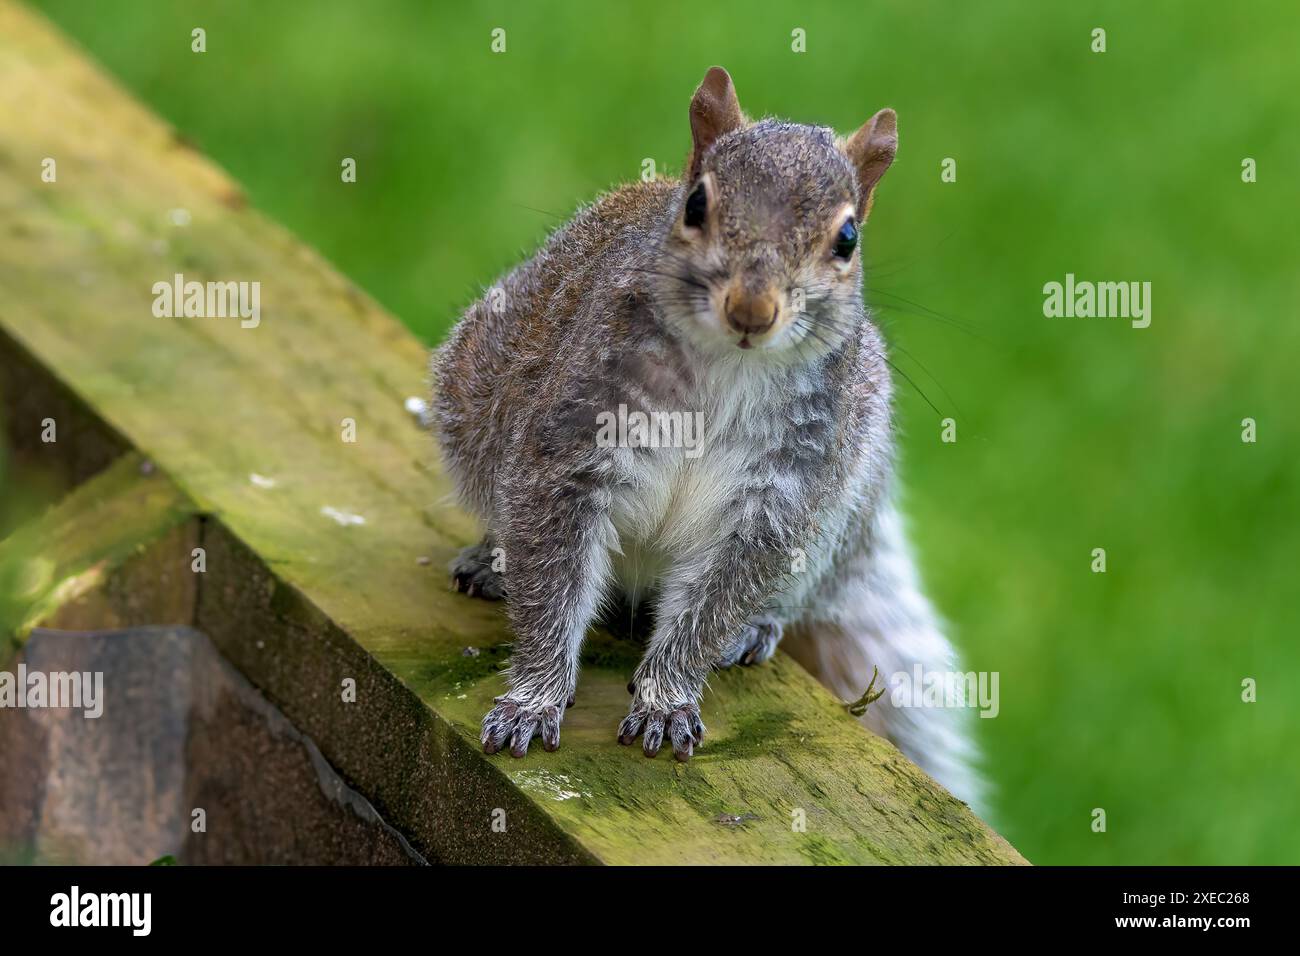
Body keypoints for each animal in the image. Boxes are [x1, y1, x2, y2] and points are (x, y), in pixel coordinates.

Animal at [433, 66, 980, 805]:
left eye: (847, 240)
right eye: (695, 205)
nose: (752, 307)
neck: (730, 369)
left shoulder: (780, 498)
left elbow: (711, 605)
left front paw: (666, 700)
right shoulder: (569, 451)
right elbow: (553, 582)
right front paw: (535, 698)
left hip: (845, 505)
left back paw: (758, 627)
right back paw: (491, 561)